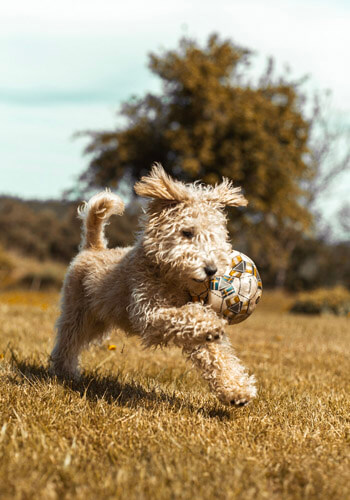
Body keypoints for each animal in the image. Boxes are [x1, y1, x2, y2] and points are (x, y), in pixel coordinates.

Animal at [50, 164, 258, 406]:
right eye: (187, 232)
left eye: (215, 236)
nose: (211, 270)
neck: (170, 279)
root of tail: (94, 248)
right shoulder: (148, 313)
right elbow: (185, 315)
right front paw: (211, 324)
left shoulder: (193, 335)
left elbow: (216, 355)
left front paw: (237, 390)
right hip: (78, 314)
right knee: (67, 342)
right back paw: (65, 373)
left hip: (98, 323)